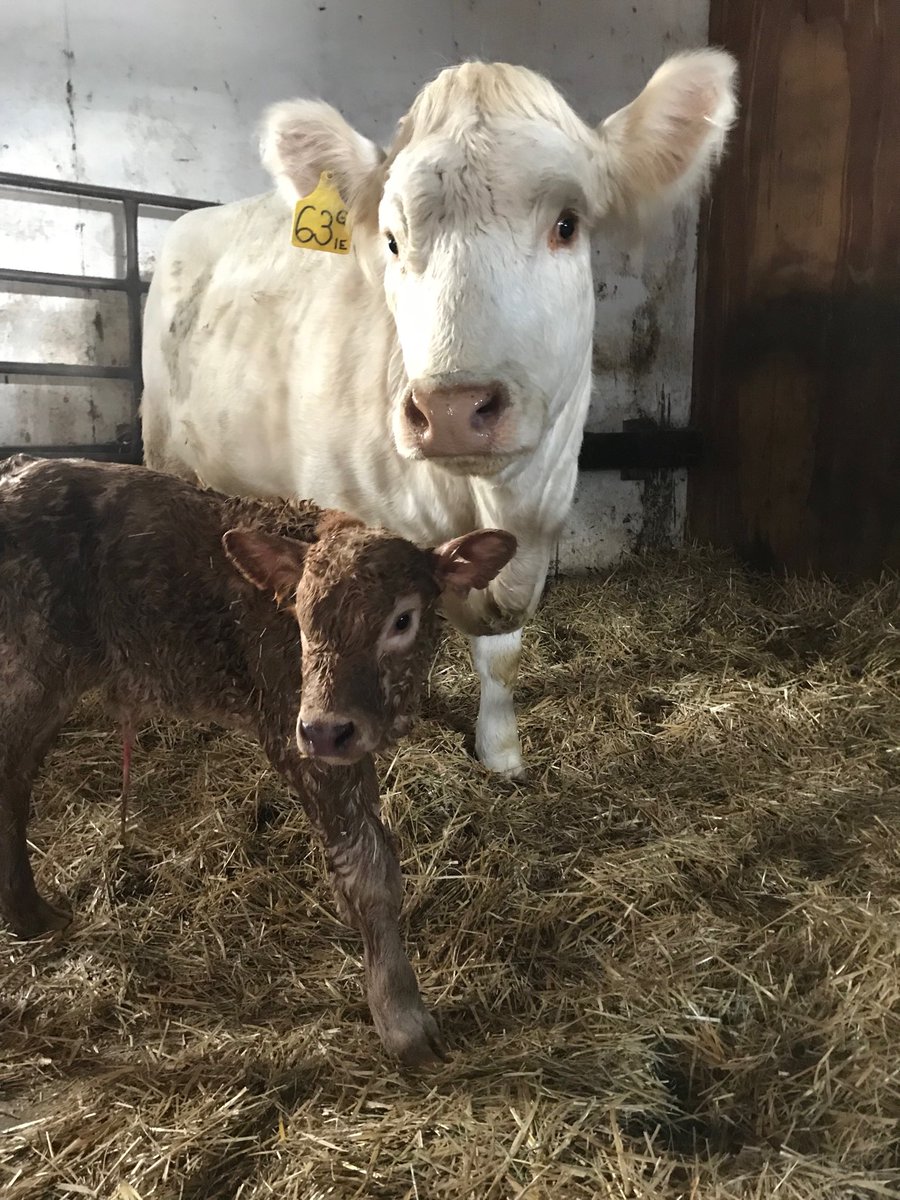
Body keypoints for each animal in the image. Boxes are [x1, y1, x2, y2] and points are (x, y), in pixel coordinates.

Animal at [0, 455, 516, 1066]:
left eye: (402, 620)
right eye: (301, 618)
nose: (325, 730)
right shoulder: (295, 733)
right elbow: (370, 873)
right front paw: (402, 1018)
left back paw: (28, 915)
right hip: (28, 675)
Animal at [141, 51, 738, 777]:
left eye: (567, 224)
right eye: (393, 240)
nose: (451, 409)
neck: (481, 495)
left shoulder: (536, 526)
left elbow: (502, 655)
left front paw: (501, 752)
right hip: (162, 447)